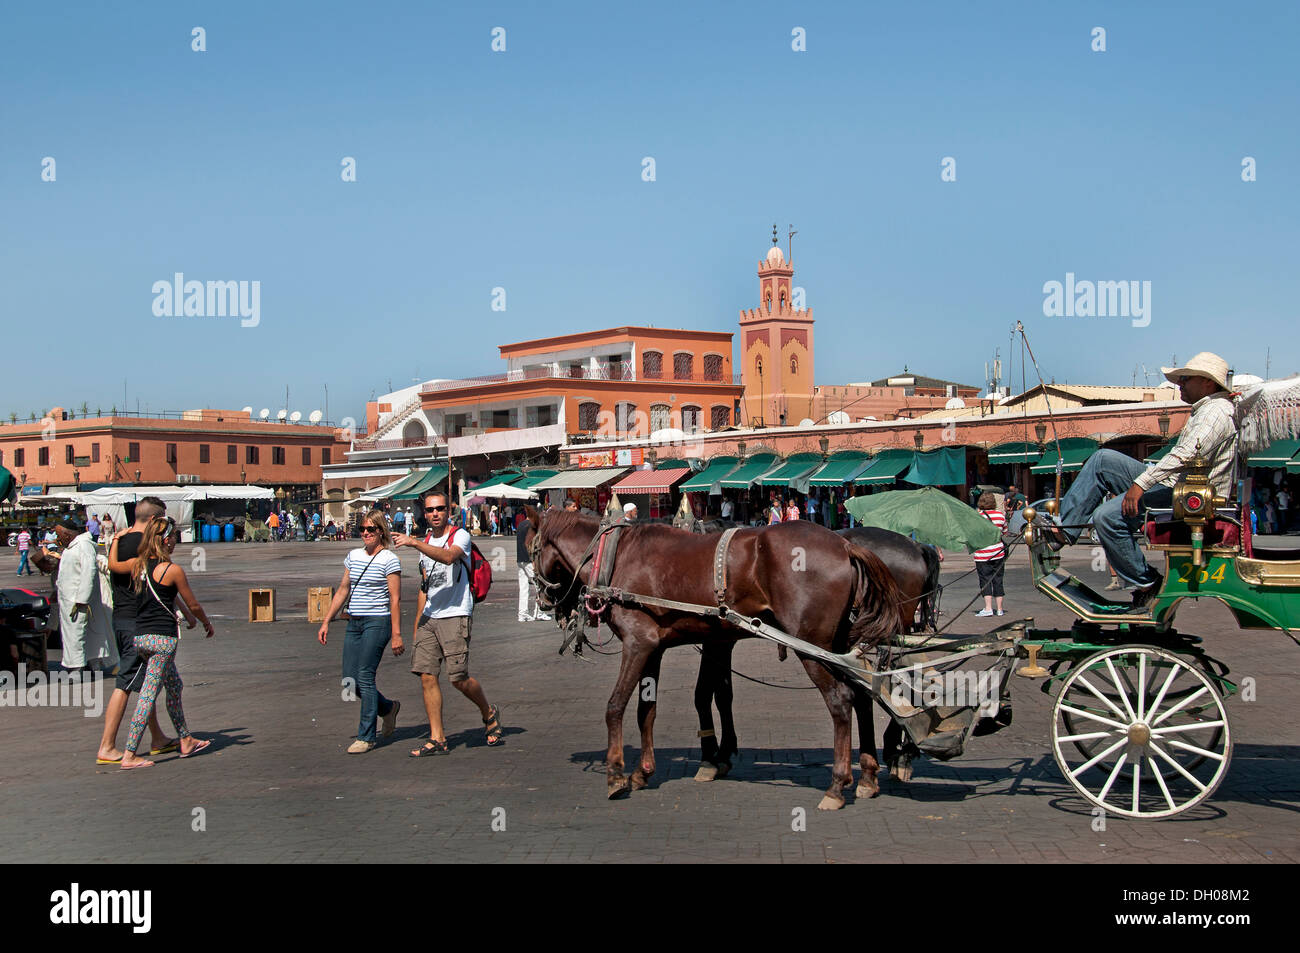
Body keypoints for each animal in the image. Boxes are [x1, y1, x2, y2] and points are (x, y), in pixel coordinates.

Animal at [527, 509, 904, 806]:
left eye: (531, 549)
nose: (543, 601)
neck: (616, 557)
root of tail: (844, 545)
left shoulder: (637, 644)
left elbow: (616, 706)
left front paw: (616, 774)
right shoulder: (654, 648)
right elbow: (647, 711)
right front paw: (643, 771)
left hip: (810, 645)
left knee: (840, 701)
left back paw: (837, 785)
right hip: (837, 645)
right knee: (861, 695)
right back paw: (867, 776)